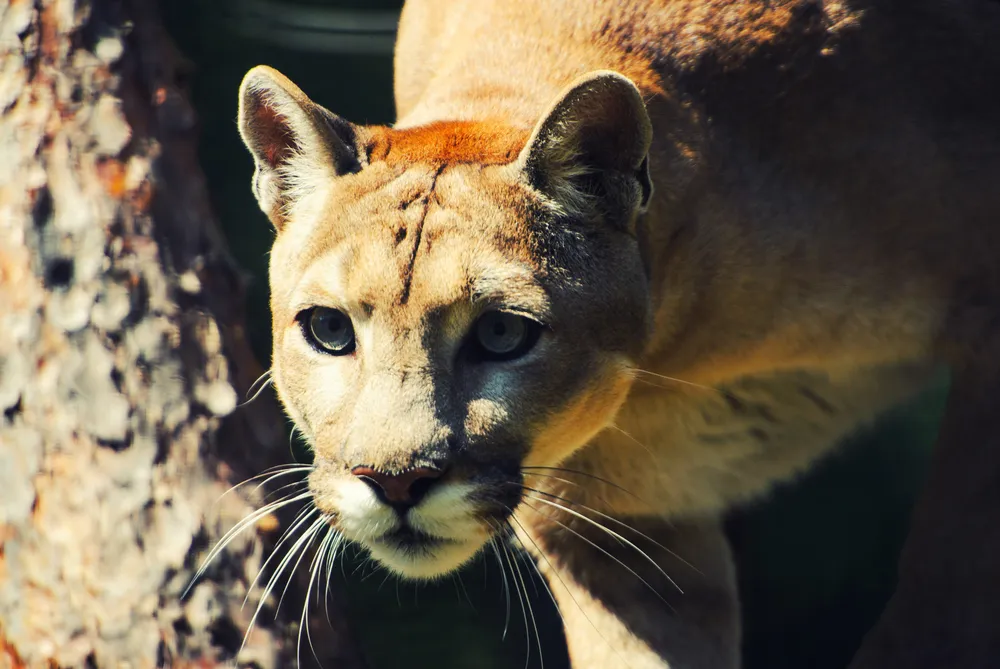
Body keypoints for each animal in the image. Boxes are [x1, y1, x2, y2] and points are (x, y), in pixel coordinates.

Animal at [234, 0, 1000, 666]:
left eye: (502, 334)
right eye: (330, 329)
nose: (396, 482)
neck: (673, 353)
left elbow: (941, 605)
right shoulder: (617, 527)